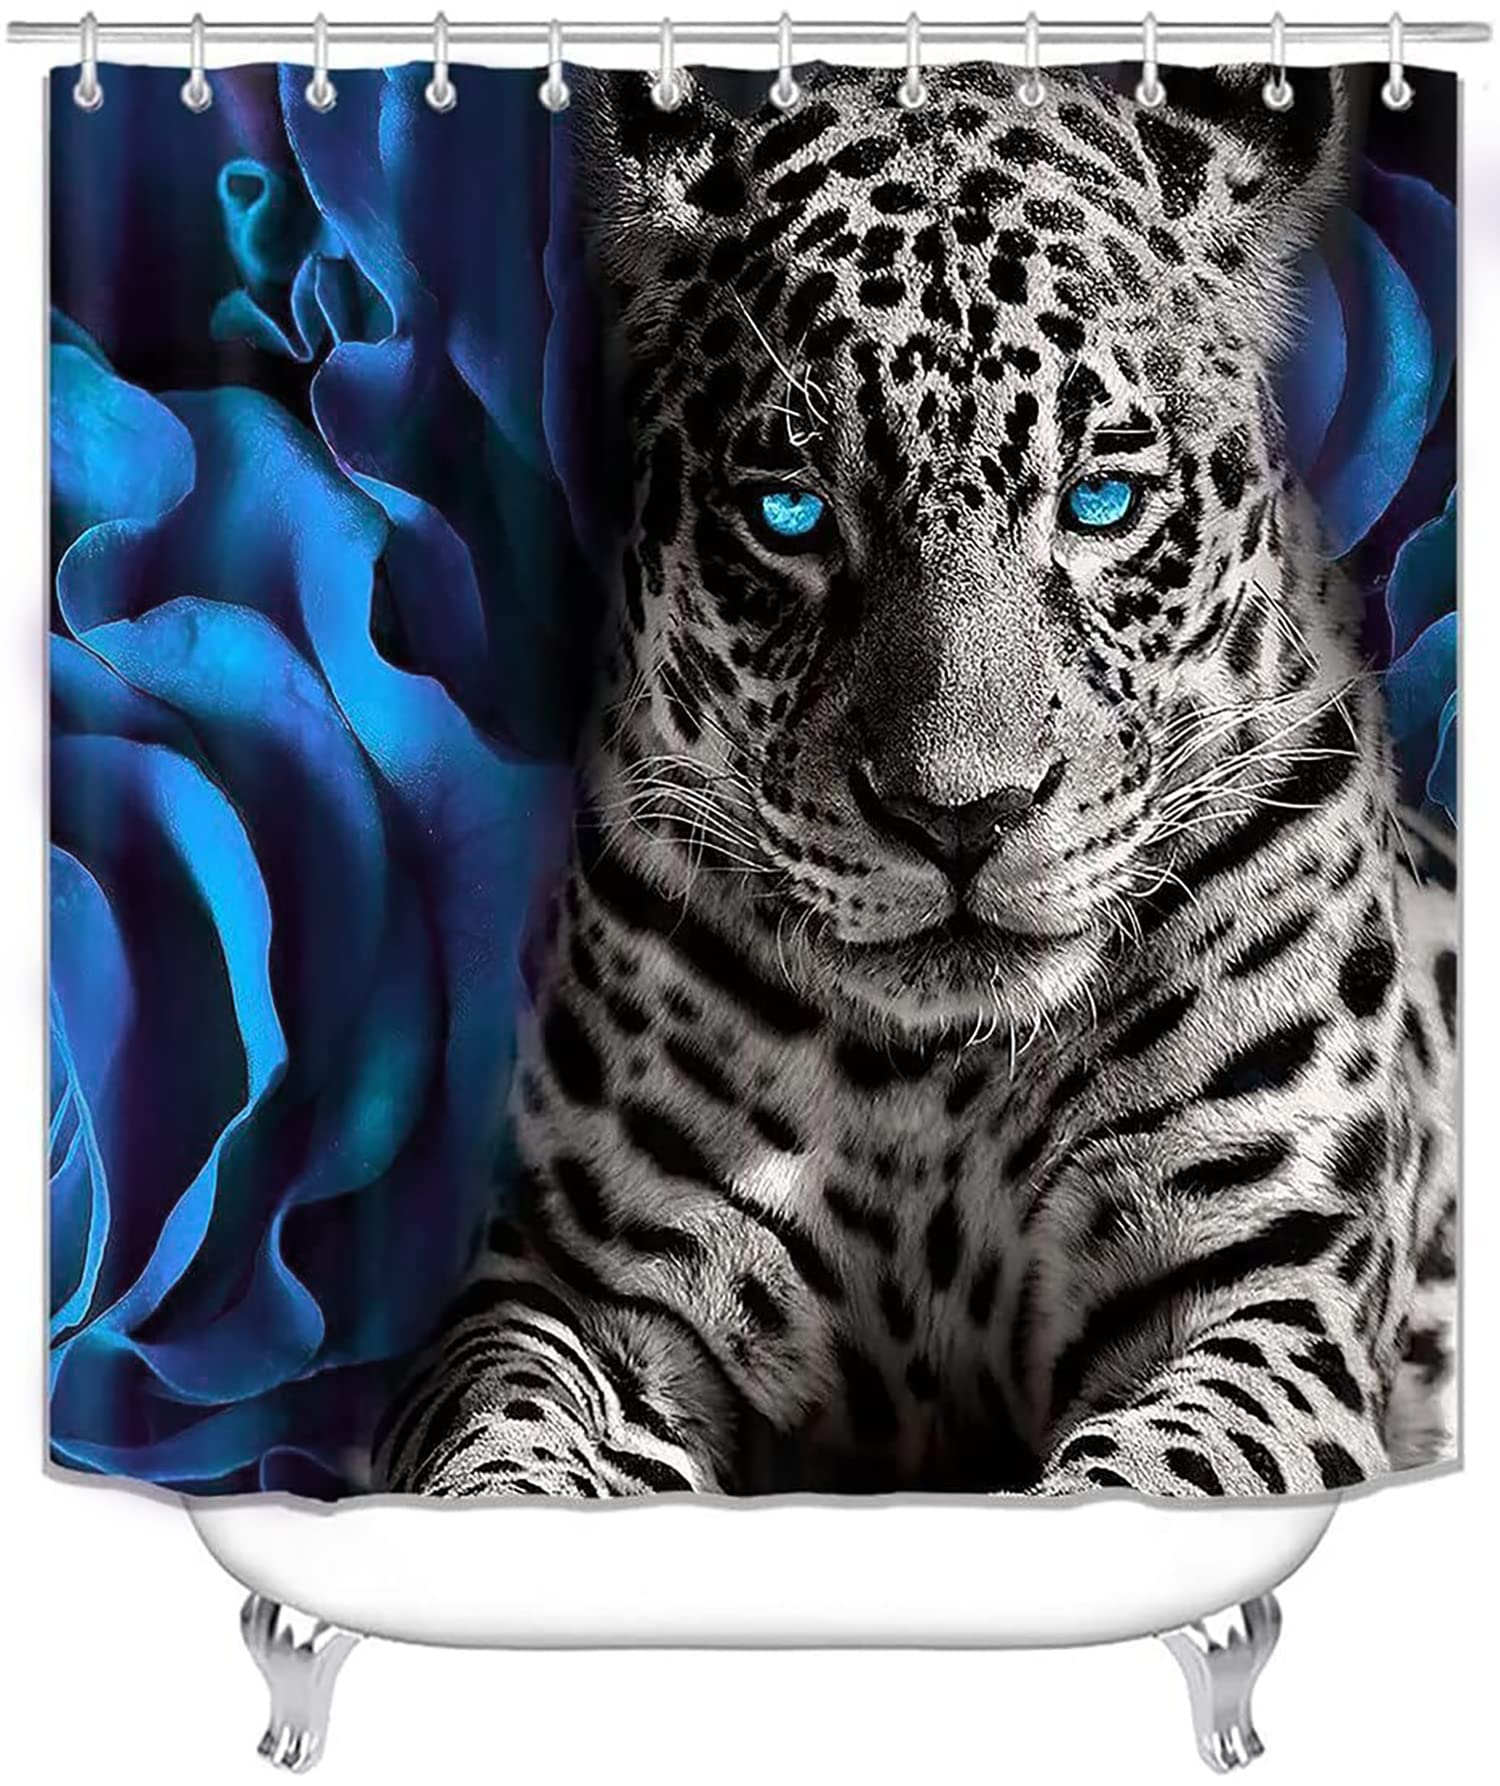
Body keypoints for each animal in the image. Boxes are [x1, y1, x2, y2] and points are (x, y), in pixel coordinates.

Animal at [372, 61, 1457, 1500]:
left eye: (1102, 502)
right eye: (791, 516)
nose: (961, 817)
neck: (932, 1085)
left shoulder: (1256, 1289)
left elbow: (1156, 1469)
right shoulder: (575, 1277)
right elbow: (501, 1419)